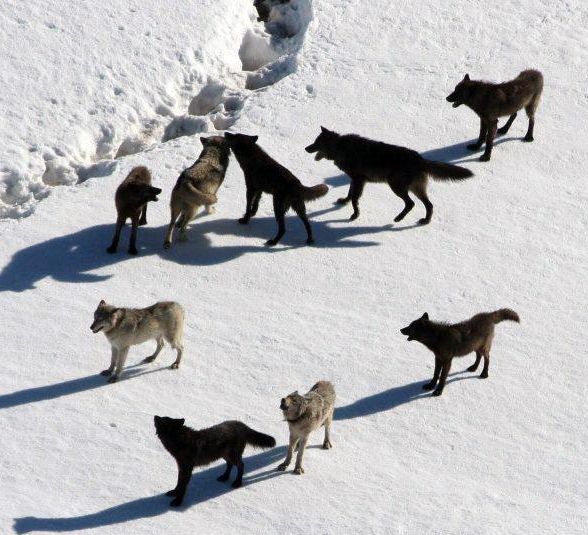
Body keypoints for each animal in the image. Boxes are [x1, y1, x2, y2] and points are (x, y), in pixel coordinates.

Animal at [306, 127, 470, 224]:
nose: (306, 148)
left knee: (411, 203)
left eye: (316, 143)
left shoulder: (359, 180)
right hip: (415, 188)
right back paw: (425, 221)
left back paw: (399, 218)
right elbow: (350, 194)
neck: (341, 148)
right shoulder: (355, 180)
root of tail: (420, 159)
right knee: (429, 204)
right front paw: (344, 202)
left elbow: (354, 199)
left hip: (396, 186)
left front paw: (355, 215)